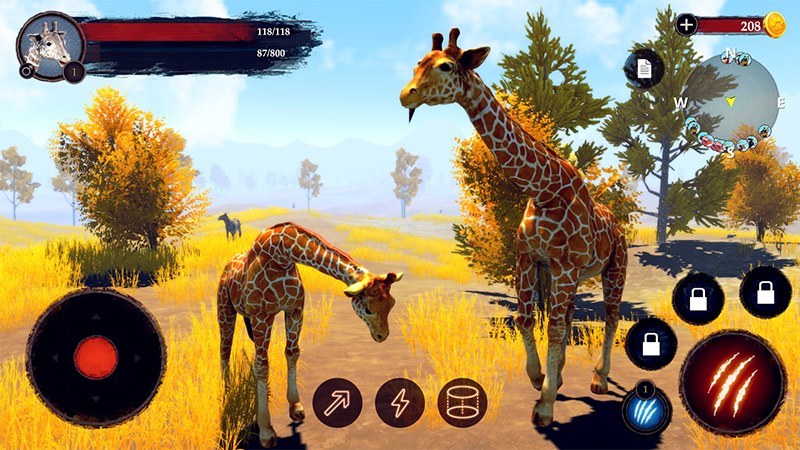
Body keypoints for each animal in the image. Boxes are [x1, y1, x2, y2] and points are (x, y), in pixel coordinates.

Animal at [217, 222, 403, 447]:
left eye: (392, 303)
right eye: (367, 309)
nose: (382, 335)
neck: (282, 257)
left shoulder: (295, 309)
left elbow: (292, 353)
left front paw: (295, 407)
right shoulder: (261, 315)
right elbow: (261, 365)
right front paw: (266, 432)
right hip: (226, 307)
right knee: (225, 348)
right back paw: (227, 392)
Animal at [399, 29, 627, 427]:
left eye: (445, 66)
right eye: (417, 64)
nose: (405, 95)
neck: (544, 189)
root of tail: (617, 224)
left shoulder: (564, 265)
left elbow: (553, 327)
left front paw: (545, 407)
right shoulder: (529, 258)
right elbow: (526, 318)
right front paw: (540, 379)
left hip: (614, 267)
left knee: (611, 316)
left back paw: (599, 380)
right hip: (567, 274)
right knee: (570, 315)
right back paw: (562, 374)